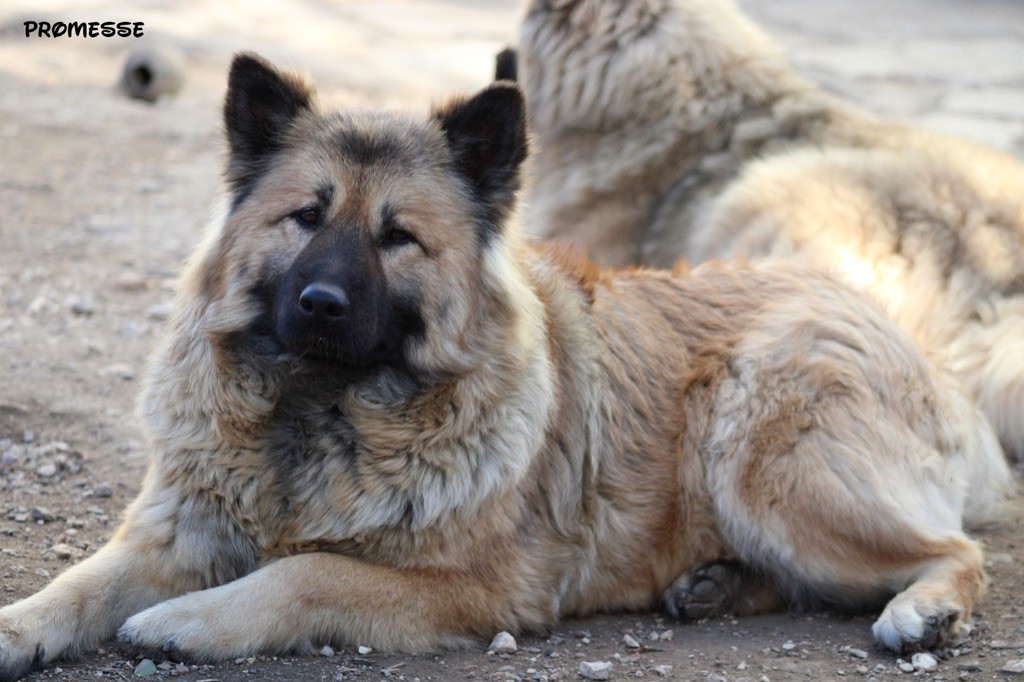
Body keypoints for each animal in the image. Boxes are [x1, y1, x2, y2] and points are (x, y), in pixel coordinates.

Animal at [0, 54, 1011, 679]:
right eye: (305, 217)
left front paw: (189, 622)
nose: (319, 304)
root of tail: (893, 328)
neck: (322, 412)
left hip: (773, 470)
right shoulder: (175, 530)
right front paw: (18, 625)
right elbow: (81, 582)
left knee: (956, 551)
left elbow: (305, 573)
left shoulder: (478, 587)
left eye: (398, 237)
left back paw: (923, 611)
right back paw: (715, 585)